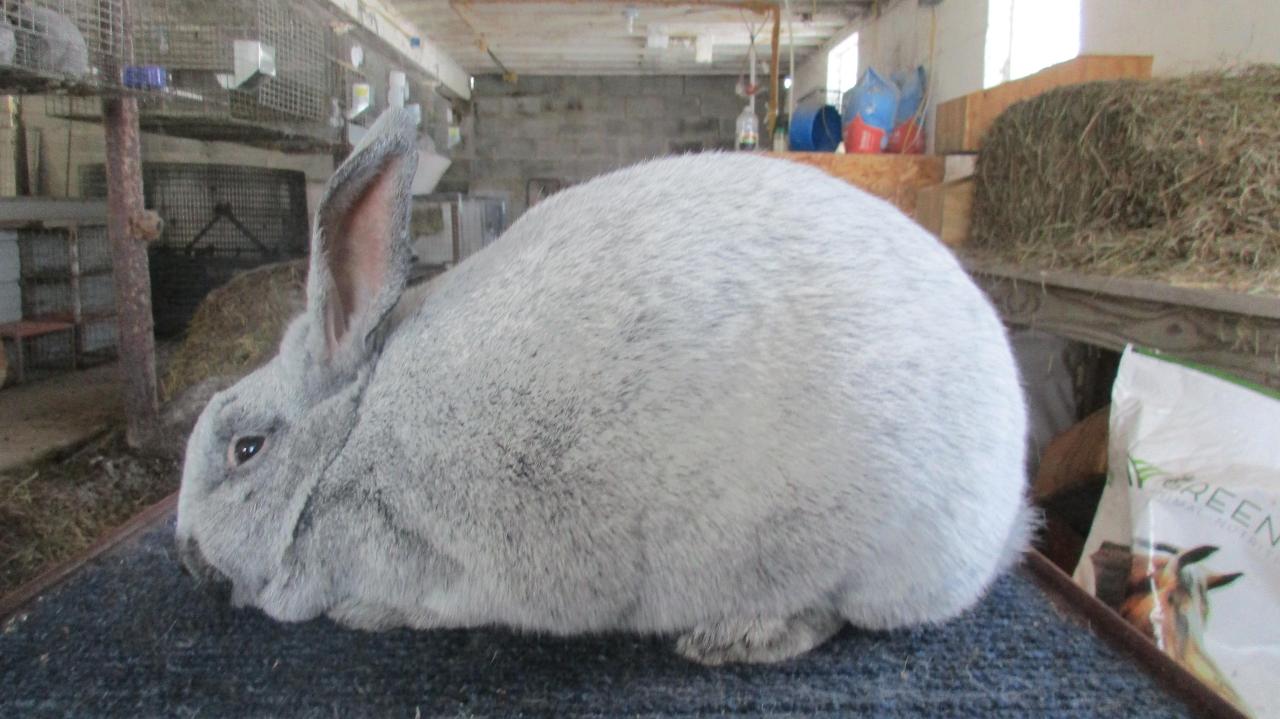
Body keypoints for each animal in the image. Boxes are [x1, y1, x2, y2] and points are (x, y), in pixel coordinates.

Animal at [176, 107, 1034, 666]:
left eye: (245, 448)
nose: (185, 550)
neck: (345, 444)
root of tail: (1005, 519)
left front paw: (364, 614)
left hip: (858, 553)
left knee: (830, 616)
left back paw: (734, 637)